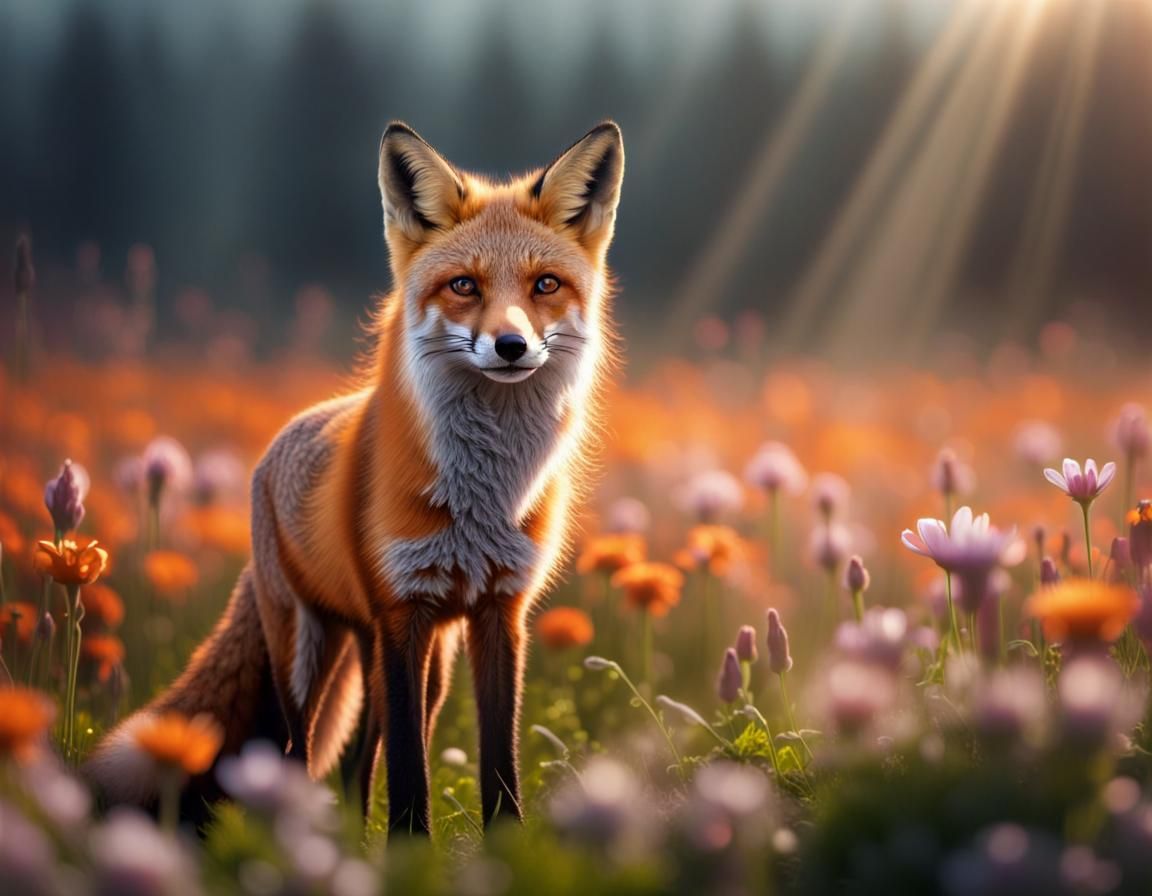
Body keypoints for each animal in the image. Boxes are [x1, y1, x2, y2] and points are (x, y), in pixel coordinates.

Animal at [85, 121, 625, 835]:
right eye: (463, 286)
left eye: (544, 285)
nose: (511, 347)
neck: (484, 492)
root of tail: (282, 437)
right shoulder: (401, 611)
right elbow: (409, 769)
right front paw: (410, 848)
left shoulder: (499, 613)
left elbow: (496, 761)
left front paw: (507, 847)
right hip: (308, 653)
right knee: (297, 750)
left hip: (415, 660)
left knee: (354, 762)